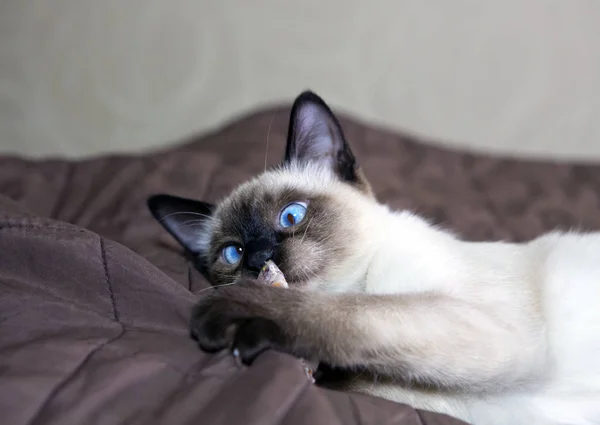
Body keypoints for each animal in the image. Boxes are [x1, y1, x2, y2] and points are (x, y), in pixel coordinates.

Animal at [149, 92, 600, 424]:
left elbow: (345, 313)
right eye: (233, 252)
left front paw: (240, 320)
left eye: (291, 215)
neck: (364, 278)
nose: (259, 257)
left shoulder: (488, 331)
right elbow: (352, 369)